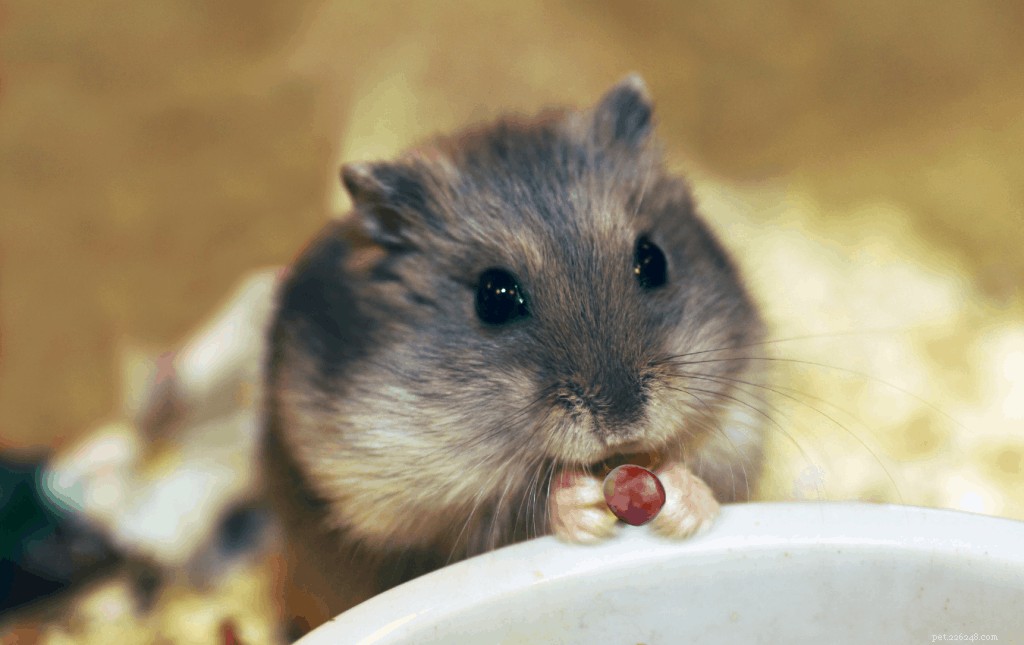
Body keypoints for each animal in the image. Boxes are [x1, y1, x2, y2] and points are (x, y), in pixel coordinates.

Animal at [262, 75, 766, 631]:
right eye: (494, 297)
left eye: (653, 260)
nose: (623, 424)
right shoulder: (414, 511)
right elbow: (509, 514)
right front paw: (582, 508)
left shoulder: (740, 421)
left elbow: (709, 467)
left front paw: (683, 504)